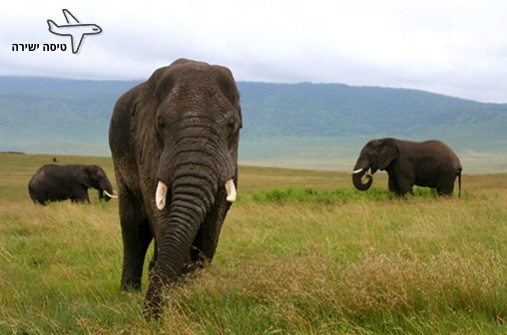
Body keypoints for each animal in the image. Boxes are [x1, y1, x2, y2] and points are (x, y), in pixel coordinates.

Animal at [108, 59, 242, 322]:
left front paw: (196, 289)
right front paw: (181, 290)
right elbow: (157, 209)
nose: (150, 315)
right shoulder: (146, 148)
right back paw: (128, 294)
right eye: (161, 124)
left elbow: (215, 217)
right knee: (134, 226)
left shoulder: (229, 157)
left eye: (231, 125)